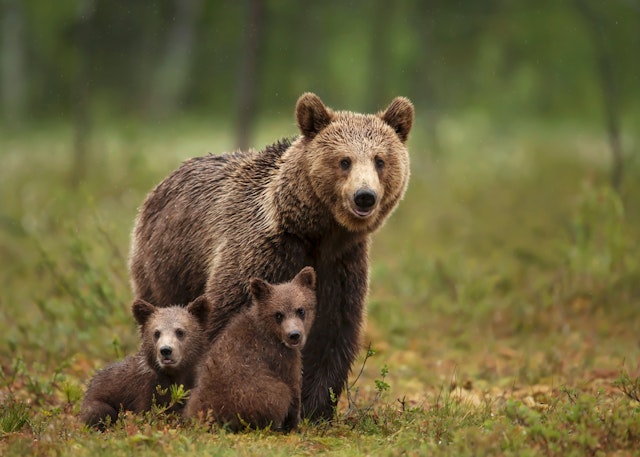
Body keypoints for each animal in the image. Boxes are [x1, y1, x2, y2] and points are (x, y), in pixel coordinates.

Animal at [80, 296, 210, 429]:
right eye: (156, 333)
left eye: (180, 331)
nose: (165, 350)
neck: (174, 374)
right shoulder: (145, 389)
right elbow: (146, 413)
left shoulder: (190, 383)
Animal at [184, 266, 317, 432]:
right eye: (278, 314)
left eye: (301, 310)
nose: (294, 335)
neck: (271, 333)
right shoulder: (281, 359)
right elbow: (294, 390)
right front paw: (296, 426)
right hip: (257, 393)